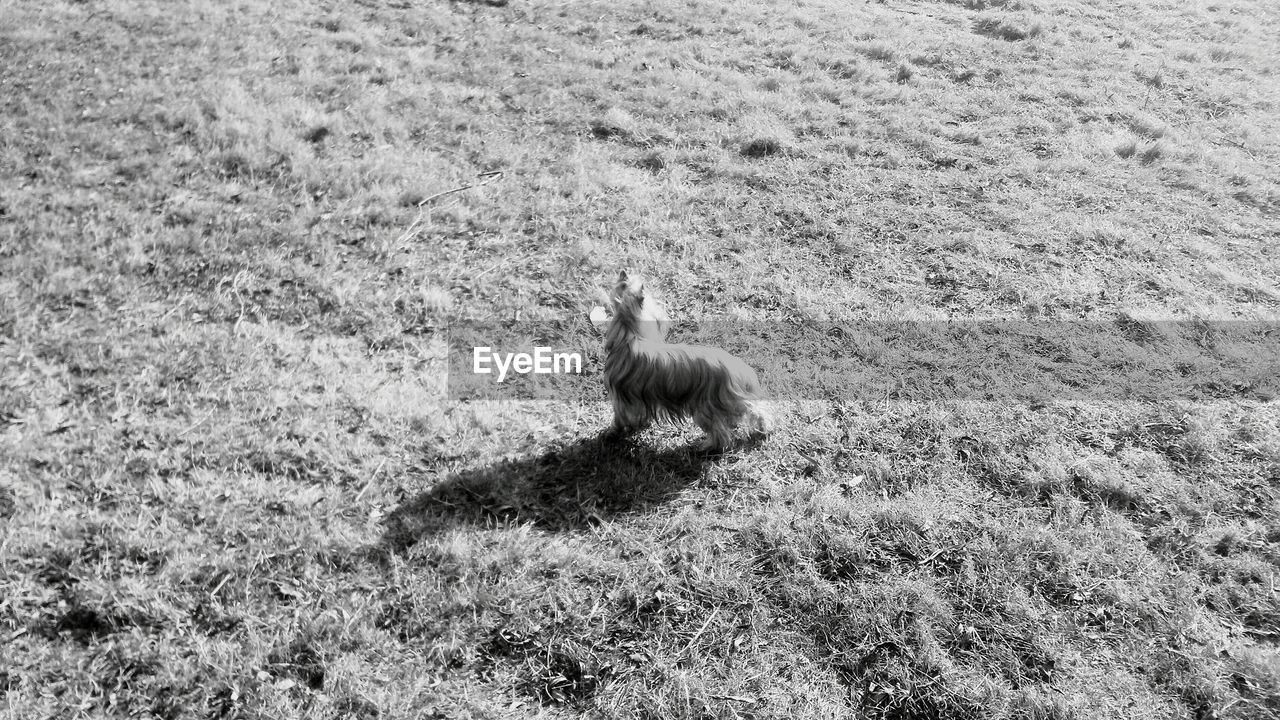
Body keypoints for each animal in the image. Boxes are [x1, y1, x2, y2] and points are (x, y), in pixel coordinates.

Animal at [599, 269, 768, 448]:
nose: (663, 313)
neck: (629, 334)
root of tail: (736, 367)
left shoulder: (623, 400)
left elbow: (620, 418)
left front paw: (613, 432)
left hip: (706, 406)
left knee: (721, 434)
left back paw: (706, 447)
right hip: (728, 400)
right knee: (753, 410)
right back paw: (762, 429)